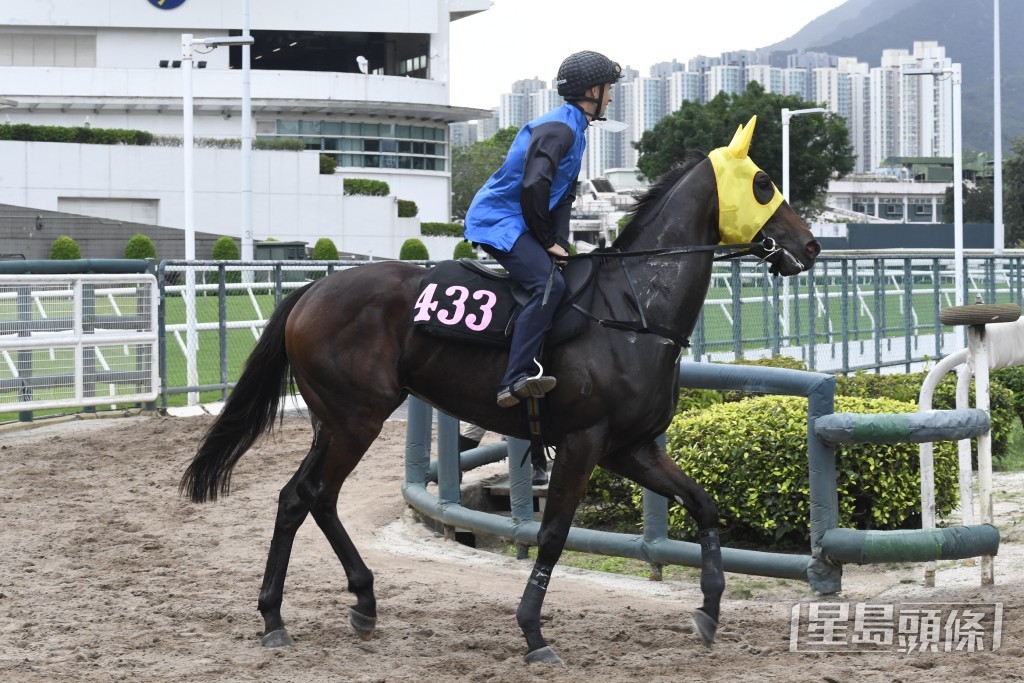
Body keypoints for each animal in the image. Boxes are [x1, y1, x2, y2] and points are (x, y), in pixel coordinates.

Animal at [184, 118, 819, 667]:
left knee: (303, 497)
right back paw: (293, 612)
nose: (810, 246)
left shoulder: (630, 448)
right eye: (764, 182)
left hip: (335, 422)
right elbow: (554, 533)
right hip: (356, 418)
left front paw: (709, 608)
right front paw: (534, 632)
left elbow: (704, 506)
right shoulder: (584, 441)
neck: (633, 310)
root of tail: (312, 290)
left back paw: (327, 607)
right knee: (312, 494)